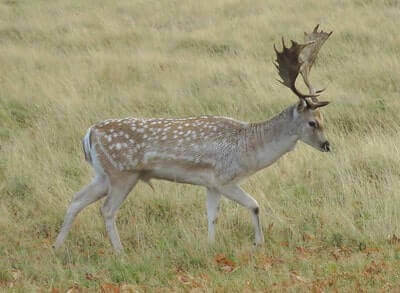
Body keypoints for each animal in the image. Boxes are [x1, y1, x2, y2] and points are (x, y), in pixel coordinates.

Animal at [54, 25, 332, 252]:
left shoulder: (210, 184)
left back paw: (57, 247)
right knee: (107, 209)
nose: (327, 145)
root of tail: (89, 133)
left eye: (323, 118)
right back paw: (120, 253)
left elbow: (212, 215)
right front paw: (258, 243)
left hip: (103, 174)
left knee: (76, 200)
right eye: (312, 122)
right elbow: (254, 205)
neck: (249, 148)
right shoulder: (224, 177)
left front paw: (210, 246)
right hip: (123, 173)